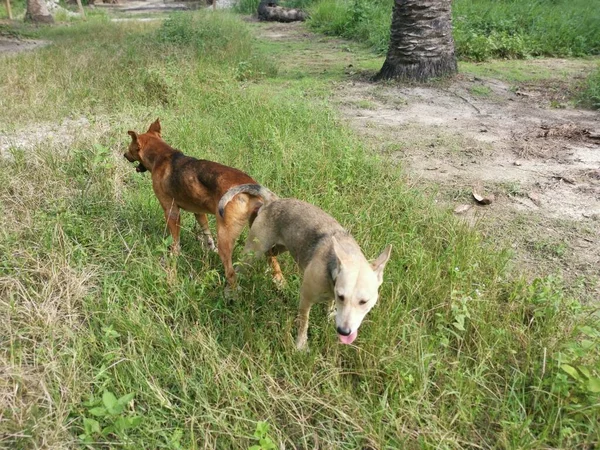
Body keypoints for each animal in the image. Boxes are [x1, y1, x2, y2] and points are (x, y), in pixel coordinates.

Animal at [123, 119, 282, 288]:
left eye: (130, 148)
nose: (124, 155)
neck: (163, 156)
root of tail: (250, 186)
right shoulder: (199, 212)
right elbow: (207, 234)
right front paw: (210, 248)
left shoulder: (171, 211)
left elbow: (175, 240)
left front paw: (174, 255)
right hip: (261, 233)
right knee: (273, 260)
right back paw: (279, 281)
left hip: (225, 237)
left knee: (231, 273)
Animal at [218, 193, 392, 348]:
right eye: (342, 296)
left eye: (364, 302)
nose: (343, 331)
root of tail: (272, 200)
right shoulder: (306, 298)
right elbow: (304, 323)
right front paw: (301, 345)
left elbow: (329, 305)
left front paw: (329, 315)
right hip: (253, 251)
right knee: (236, 269)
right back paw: (230, 292)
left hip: (282, 247)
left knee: (270, 254)